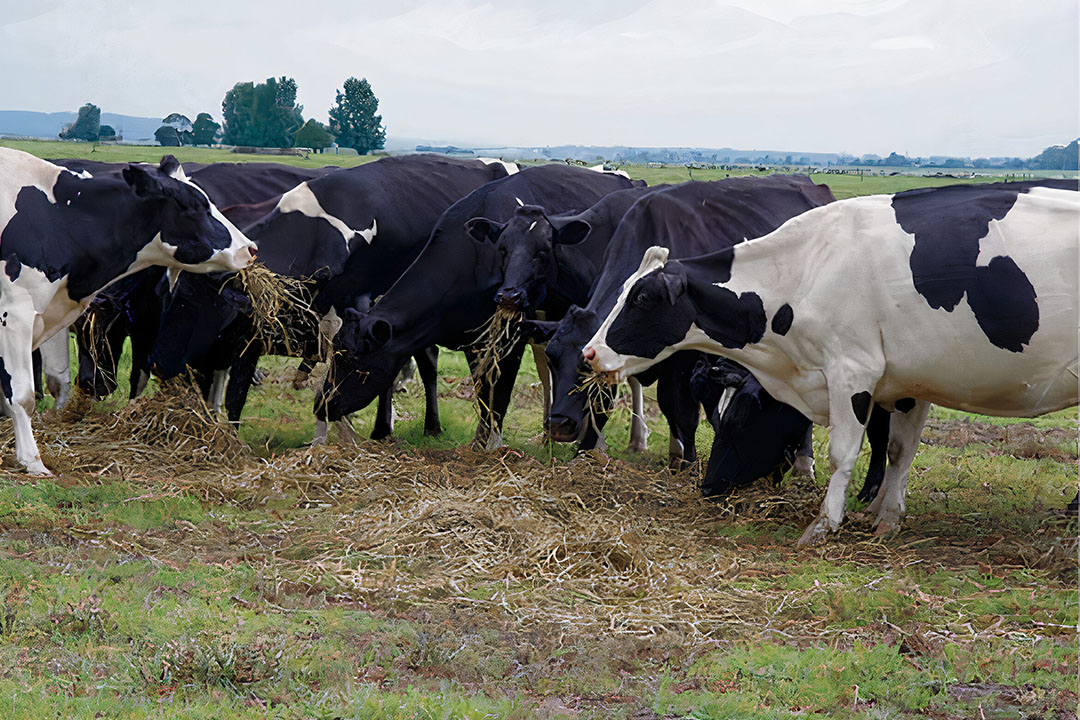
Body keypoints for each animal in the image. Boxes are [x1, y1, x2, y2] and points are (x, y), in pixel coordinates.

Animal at [0, 148, 254, 474]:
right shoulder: (15, 313)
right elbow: (22, 395)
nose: (250, 249)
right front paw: (32, 461)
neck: (58, 217)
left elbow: (53, 379)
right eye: (194, 205)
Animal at [147, 154, 514, 436]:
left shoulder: (349, 313)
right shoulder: (259, 326)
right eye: (167, 296)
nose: (159, 363)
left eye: (198, 303)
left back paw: (416, 427)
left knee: (426, 363)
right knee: (426, 359)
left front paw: (329, 436)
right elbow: (237, 390)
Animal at [319, 164, 639, 446]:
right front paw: (473, 439)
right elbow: (481, 389)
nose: (321, 406)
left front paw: (492, 444)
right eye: (334, 355)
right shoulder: (473, 341)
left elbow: (500, 392)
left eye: (354, 364)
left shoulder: (509, 337)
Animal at [583, 180, 1080, 546]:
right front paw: (884, 516)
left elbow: (844, 452)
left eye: (642, 298)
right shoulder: (910, 381)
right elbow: (900, 450)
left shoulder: (851, 371)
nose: (590, 352)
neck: (809, 268)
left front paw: (825, 523)